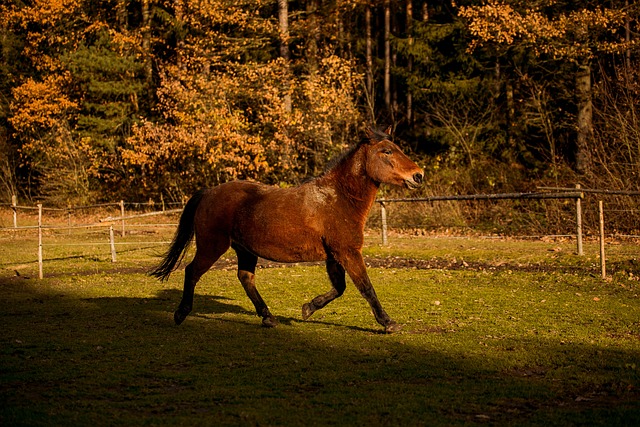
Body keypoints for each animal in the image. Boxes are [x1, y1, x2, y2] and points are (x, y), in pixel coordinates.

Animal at [148, 127, 422, 334]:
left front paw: (308, 308)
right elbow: (365, 287)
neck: (338, 199)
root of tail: (208, 192)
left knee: (245, 278)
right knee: (192, 271)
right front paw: (388, 323)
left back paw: (268, 317)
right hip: (212, 246)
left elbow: (340, 288)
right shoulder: (348, 252)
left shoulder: (335, 256)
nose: (418, 175)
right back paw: (181, 313)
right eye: (387, 151)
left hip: (245, 250)